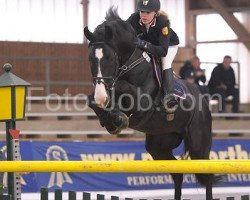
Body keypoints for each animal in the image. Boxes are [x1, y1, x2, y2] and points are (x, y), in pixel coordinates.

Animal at [84, 7, 217, 200]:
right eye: (90, 59)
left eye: (109, 58)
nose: (102, 95)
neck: (129, 64)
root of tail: (203, 101)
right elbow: (92, 100)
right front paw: (110, 120)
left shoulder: (142, 102)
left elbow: (123, 87)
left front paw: (119, 119)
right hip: (159, 144)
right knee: (177, 172)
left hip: (198, 145)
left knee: (207, 174)